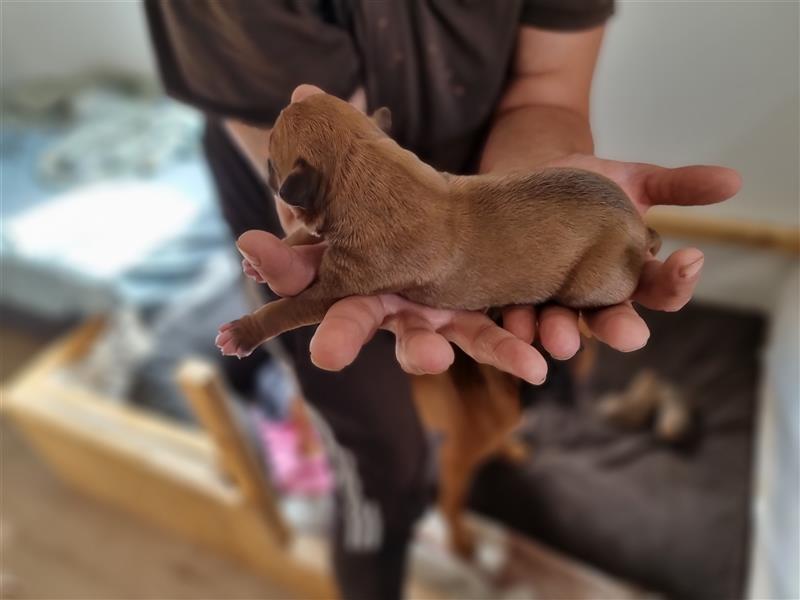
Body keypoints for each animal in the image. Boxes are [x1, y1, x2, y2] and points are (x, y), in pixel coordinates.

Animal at [216, 90, 660, 356]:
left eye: (270, 159)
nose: (267, 171)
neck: (362, 162)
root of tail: (640, 231)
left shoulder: (339, 285)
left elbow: (289, 307)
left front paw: (244, 331)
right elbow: (303, 235)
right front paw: (270, 253)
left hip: (592, 280)